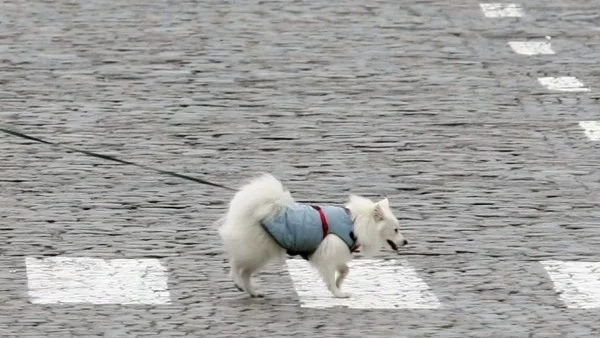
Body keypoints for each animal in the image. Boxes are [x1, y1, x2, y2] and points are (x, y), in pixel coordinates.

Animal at [216, 174, 408, 298]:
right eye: (396, 230)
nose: (406, 241)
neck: (355, 224)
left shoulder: (337, 253)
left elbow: (345, 269)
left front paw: (339, 283)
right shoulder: (328, 255)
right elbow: (330, 277)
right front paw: (338, 293)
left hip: (260, 253)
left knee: (244, 271)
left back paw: (253, 291)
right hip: (258, 251)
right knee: (237, 265)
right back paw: (239, 283)